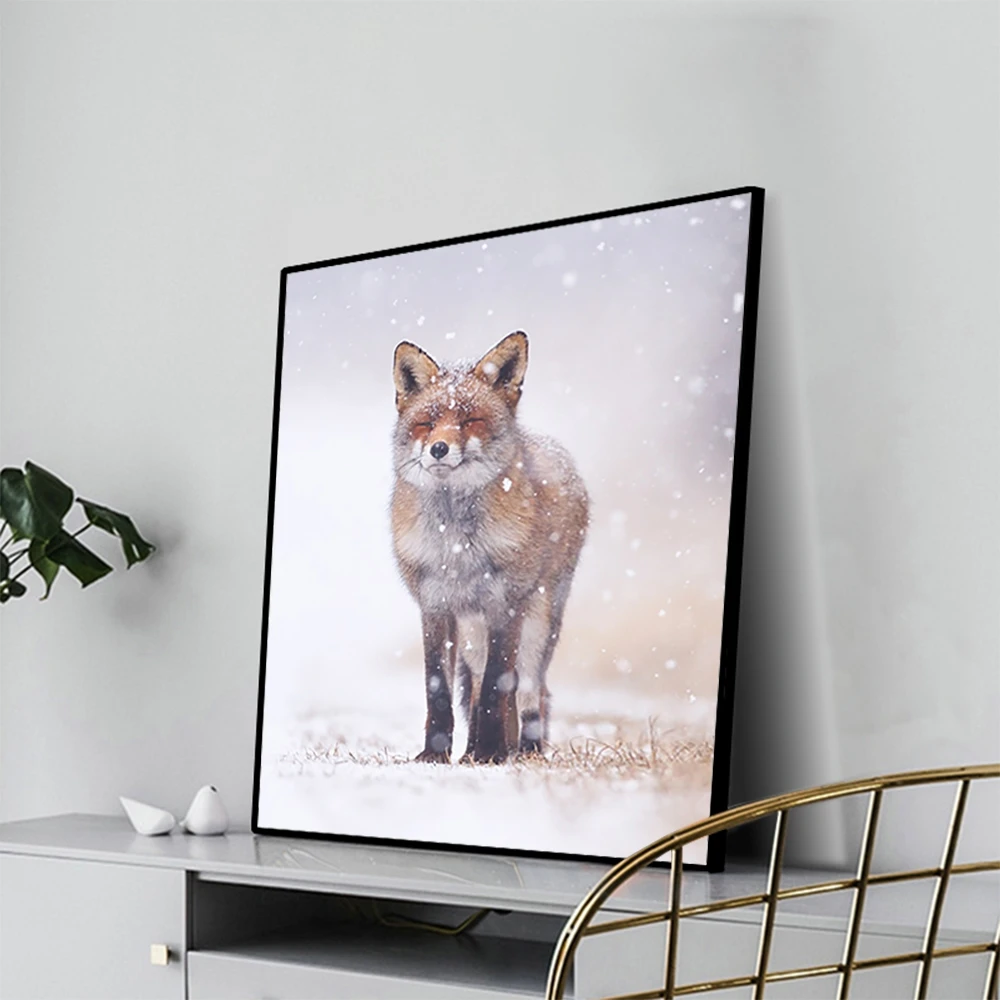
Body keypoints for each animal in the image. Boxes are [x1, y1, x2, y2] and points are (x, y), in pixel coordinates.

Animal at [390, 331, 589, 764]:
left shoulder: (505, 604)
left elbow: (499, 685)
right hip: (471, 633)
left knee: (530, 690)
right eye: (427, 424)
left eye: (470, 421)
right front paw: (435, 756)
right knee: (479, 684)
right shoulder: (434, 606)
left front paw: (492, 753)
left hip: (538, 623)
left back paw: (523, 749)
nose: (439, 449)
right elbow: (440, 689)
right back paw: (472, 750)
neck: (455, 545)